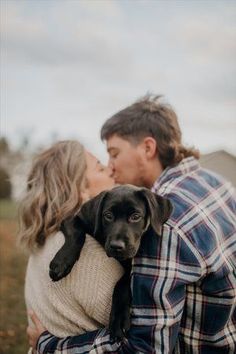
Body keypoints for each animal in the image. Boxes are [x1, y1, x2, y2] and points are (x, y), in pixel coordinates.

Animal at [49, 185, 171, 338]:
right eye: (108, 215)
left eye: (135, 216)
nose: (116, 246)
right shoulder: (74, 219)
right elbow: (76, 231)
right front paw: (62, 262)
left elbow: (122, 284)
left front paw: (118, 318)